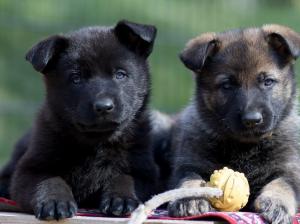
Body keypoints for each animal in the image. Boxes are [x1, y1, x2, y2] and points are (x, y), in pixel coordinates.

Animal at [0, 20, 161, 220]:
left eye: (120, 74)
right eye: (76, 78)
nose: (103, 106)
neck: (97, 141)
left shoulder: (145, 171)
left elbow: (125, 177)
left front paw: (121, 198)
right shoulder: (29, 169)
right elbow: (49, 180)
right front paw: (55, 201)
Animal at [168, 25, 300, 224]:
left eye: (267, 82)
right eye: (227, 85)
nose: (252, 120)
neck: (245, 147)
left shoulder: (289, 170)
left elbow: (283, 184)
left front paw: (277, 203)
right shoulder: (188, 164)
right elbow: (188, 179)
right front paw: (190, 197)